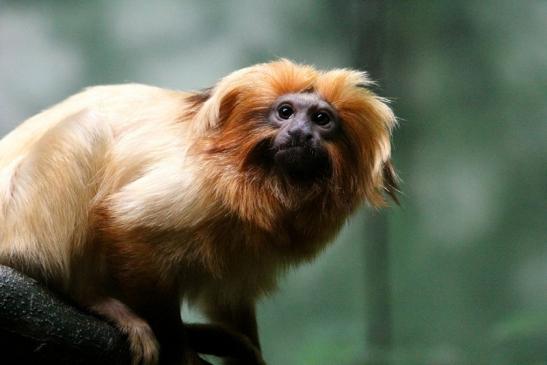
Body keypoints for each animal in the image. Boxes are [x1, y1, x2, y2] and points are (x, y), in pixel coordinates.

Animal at [0, 59, 398, 364]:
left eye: (321, 119)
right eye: (285, 113)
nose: (301, 133)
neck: (257, 175)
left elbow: (230, 297)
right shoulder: (200, 187)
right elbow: (128, 224)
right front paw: (180, 349)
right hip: (19, 224)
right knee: (86, 128)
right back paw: (90, 297)